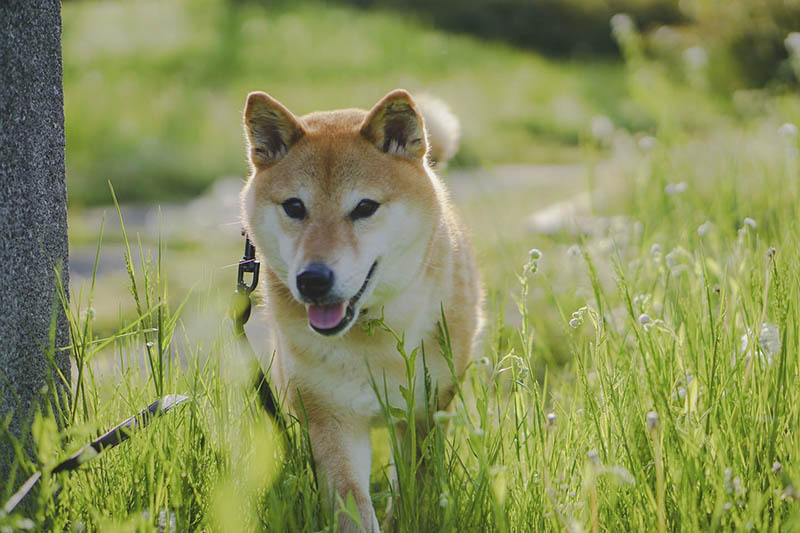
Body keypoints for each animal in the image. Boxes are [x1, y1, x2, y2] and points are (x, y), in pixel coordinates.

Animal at [241, 89, 484, 528]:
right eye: (295, 207)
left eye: (364, 207)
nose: (313, 279)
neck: (372, 335)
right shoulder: (331, 419)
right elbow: (351, 502)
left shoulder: (422, 413)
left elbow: (411, 491)